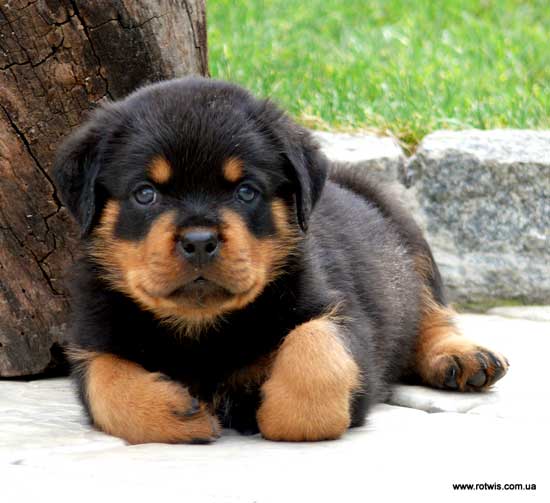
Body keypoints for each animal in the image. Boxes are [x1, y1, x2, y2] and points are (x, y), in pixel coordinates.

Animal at [53, 77, 509, 444]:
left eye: (246, 191)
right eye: (145, 193)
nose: (199, 241)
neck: (202, 328)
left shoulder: (340, 314)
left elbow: (315, 354)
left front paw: (271, 410)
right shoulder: (91, 334)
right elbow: (104, 380)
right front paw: (174, 412)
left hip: (407, 234)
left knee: (431, 312)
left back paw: (462, 356)